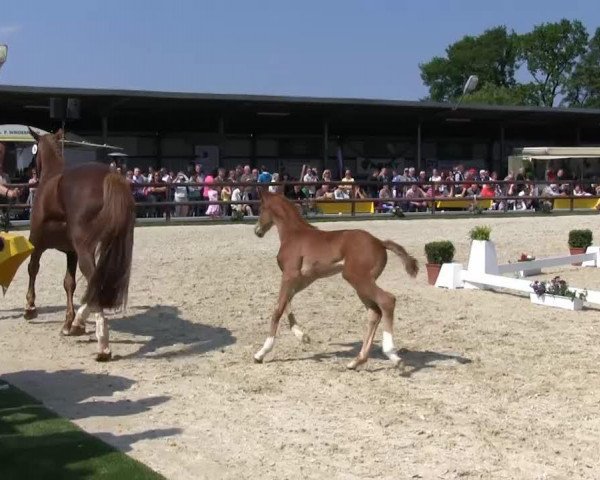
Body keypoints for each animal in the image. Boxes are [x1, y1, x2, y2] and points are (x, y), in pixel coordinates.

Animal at [252, 189, 418, 370]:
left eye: (260, 208)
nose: (257, 231)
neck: (293, 234)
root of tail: (380, 242)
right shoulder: (303, 279)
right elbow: (286, 303)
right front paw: (302, 335)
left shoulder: (290, 275)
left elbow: (278, 309)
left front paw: (262, 352)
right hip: (361, 285)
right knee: (374, 313)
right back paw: (357, 361)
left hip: (357, 278)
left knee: (387, 300)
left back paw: (392, 355)